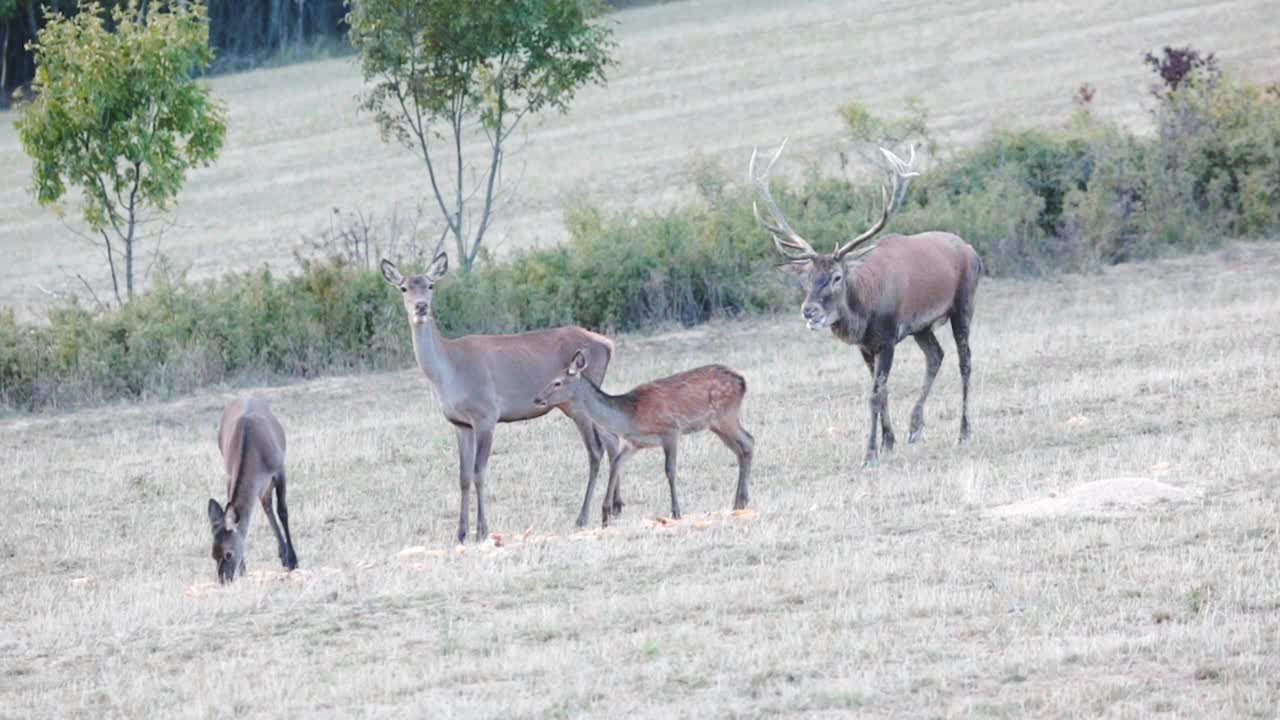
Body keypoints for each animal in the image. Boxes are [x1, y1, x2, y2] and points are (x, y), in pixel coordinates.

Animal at [203, 394, 295, 586]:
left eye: (228, 553)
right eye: (213, 554)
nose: (224, 580)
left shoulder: (280, 469)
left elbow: (283, 511)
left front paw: (293, 560)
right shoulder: (230, 476)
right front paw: (244, 567)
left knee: (270, 508)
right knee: (266, 506)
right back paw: (281, 553)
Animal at [376, 252, 622, 538]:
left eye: (430, 285)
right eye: (403, 288)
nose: (421, 307)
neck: (448, 373)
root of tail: (607, 344)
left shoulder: (486, 414)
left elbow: (479, 471)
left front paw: (482, 530)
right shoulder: (460, 423)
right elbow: (463, 476)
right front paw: (460, 533)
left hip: (577, 400)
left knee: (595, 450)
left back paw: (583, 517)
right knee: (612, 439)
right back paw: (615, 507)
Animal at [529, 351, 747, 525]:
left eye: (557, 382)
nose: (537, 399)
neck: (629, 417)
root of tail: (742, 381)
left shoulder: (671, 430)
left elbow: (670, 470)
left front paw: (676, 512)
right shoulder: (635, 443)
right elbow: (616, 464)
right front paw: (605, 514)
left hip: (725, 415)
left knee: (748, 442)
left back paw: (741, 500)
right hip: (716, 424)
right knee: (742, 448)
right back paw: (740, 502)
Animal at [747, 137, 977, 468]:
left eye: (837, 276)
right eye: (807, 276)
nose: (809, 311)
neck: (865, 314)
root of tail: (971, 249)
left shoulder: (889, 338)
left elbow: (874, 395)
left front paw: (870, 454)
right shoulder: (866, 347)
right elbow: (882, 392)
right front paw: (889, 441)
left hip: (963, 304)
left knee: (965, 361)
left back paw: (964, 431)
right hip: (922, 326)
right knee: (936, 356)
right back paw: (915, 427)